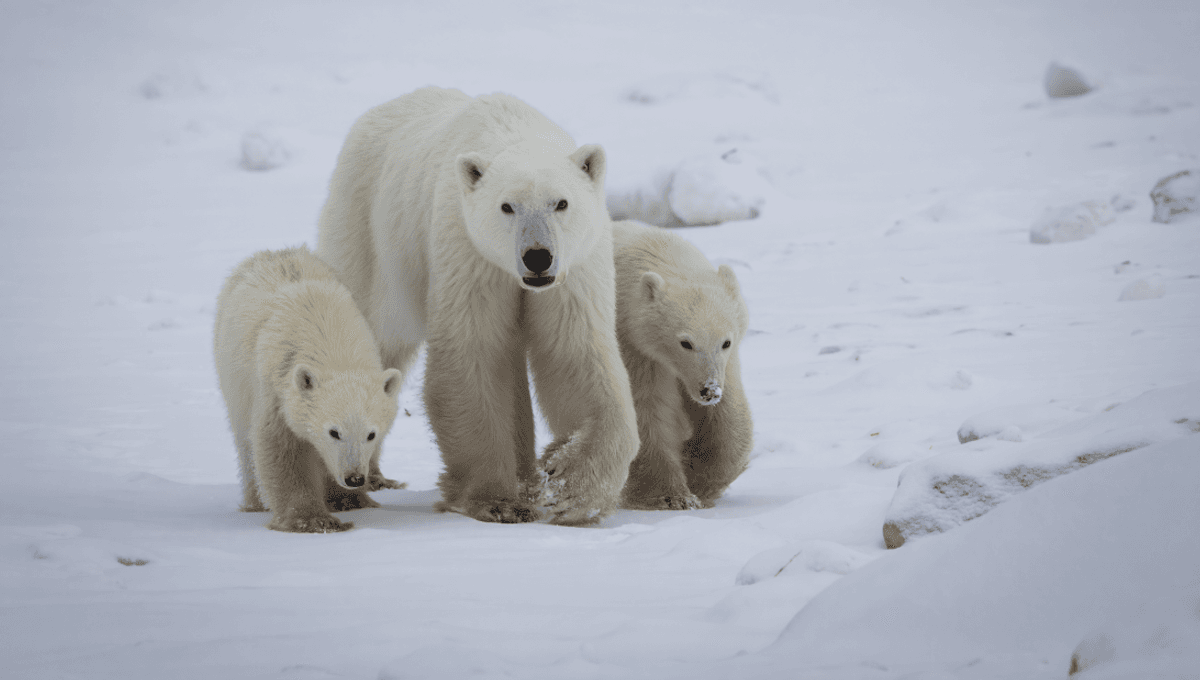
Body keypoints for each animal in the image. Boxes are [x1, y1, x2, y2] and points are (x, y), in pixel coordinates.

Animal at [213, 246, 403, 533]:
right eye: (334, 432)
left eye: (372, 434)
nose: (355, 478)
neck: (330, 342)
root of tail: (276, 252)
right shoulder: (277, 391)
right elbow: (283, 449)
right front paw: (312, 520)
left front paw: (348, 500)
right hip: (233, 377)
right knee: (244, 441)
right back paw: (255, 503)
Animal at [316, 87, 639, 525]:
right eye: (507, 206)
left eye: (561, 203)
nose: (538, 257)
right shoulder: (469, 252)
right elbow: (474, 355)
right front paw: (497, 501)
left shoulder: (575, 269)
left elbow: (573, 353)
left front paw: (572, 488)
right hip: (368, 234)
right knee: (371, 337)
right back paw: (356, 483)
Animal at [611, 220, 754, 510]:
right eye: (685, 343)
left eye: (725, 342)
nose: (709, 390)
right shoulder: (636, 346)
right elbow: (648, 409)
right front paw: (673, 496)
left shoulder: (726, 363)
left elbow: (728, 415)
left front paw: (701, 477)